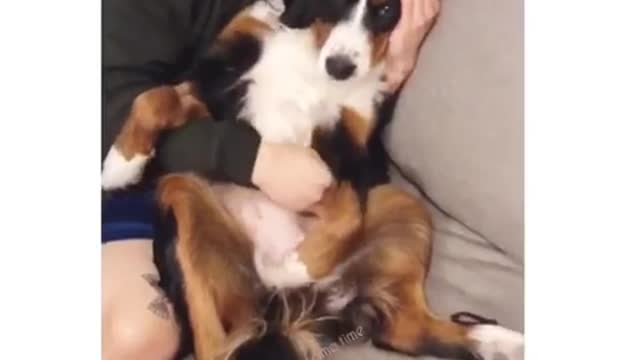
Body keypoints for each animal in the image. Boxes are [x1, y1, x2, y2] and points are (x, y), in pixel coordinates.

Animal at [101, 0, 524, 360]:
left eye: (386, 10)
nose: (339, 67)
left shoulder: (351, 138)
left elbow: (348, 214)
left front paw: (295, 267)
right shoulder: (221, 88)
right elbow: (154, 97)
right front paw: (120, 165)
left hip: (405, 203)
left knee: (404, 329)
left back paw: (499, 341)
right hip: (181, 197)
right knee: (215, 348)